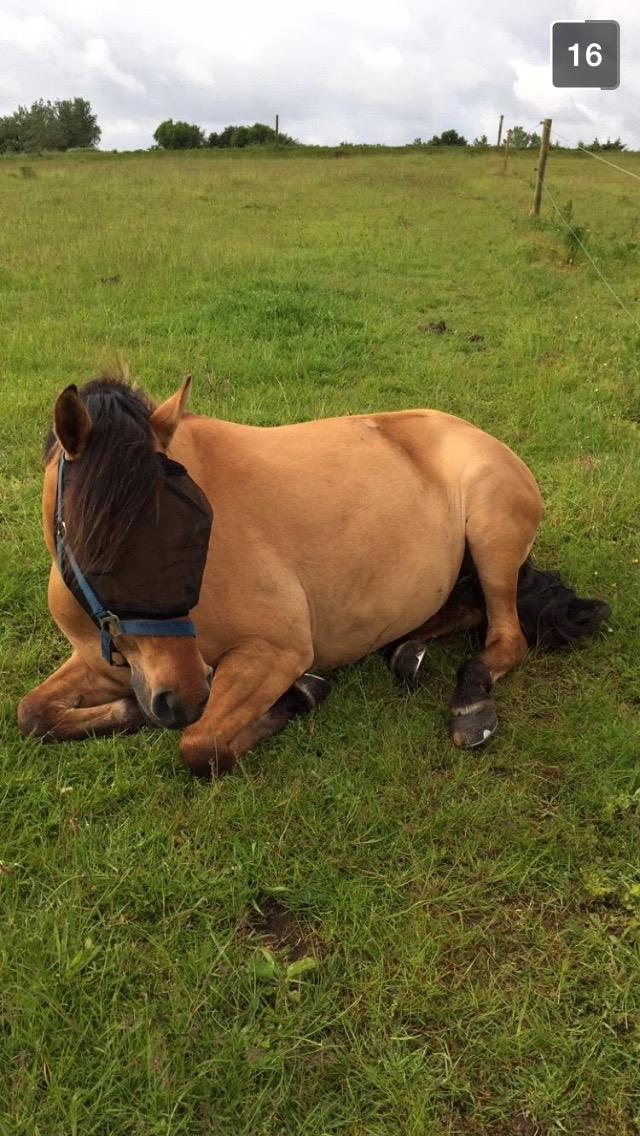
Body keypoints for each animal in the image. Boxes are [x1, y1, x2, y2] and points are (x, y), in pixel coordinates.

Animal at [18, 376, 608, 777]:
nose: (182, 697)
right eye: (98, 553)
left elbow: (201, 746)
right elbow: (32, 714)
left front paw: (300, 695)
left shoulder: (275, 652)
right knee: (466, 610)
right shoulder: (103, 659)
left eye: (201, 526)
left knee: (506, 636)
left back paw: (469, 703)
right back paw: (406, 650)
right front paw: (128, 711)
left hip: (490, 536)